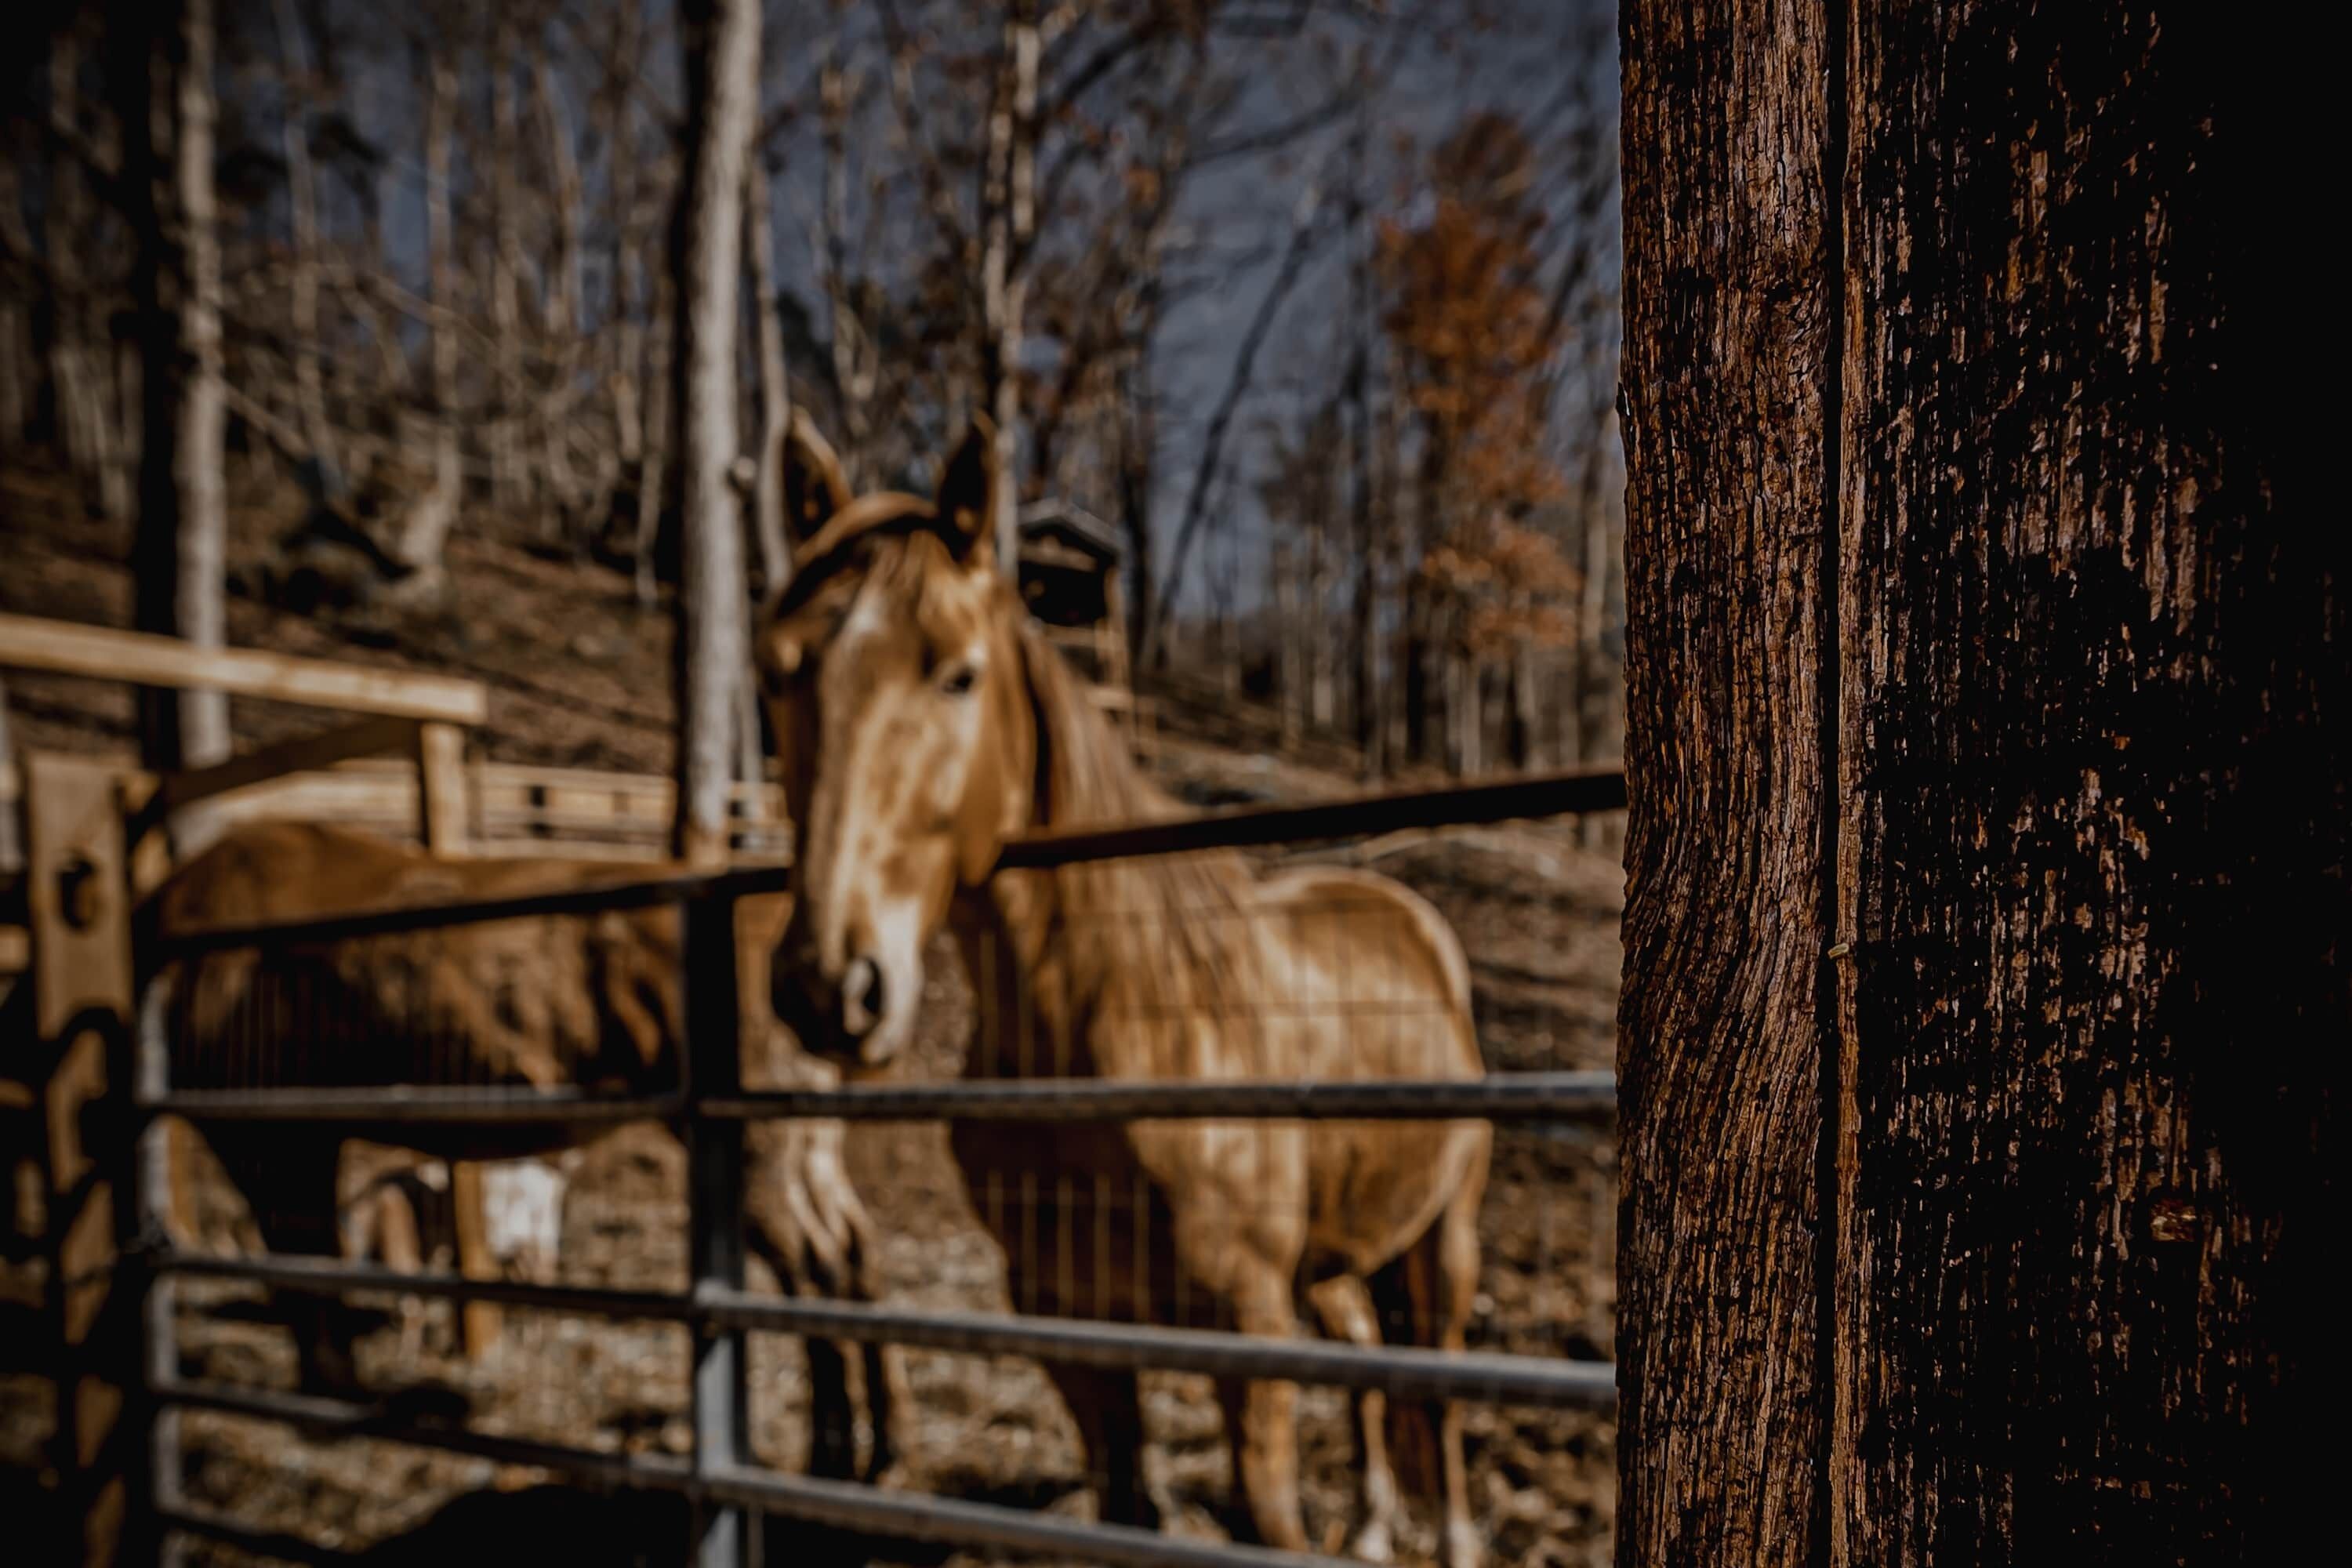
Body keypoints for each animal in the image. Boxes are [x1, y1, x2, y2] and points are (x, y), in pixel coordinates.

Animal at [151, 820, 905, 1481]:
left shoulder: (271, 1135)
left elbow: (304, 1264)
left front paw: (329, 1392)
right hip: (806, 1139)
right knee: (857, 1250)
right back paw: (885, 1451)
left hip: (759, 1142)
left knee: (815, 1268)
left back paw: (833, 1456)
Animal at [754, 413, 1494, 1565]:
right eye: (779, 671)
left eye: (958, 676)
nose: (833, 982)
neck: (1126, 1024)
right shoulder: (1074, 1330)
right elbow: (1125, 1509)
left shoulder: (1247, 1328)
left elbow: (1268, 1518)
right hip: (1338, 1259)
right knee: (1370, 1361)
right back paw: (1373, 1525)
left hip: (1443, 1236)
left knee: (1441, 1391)